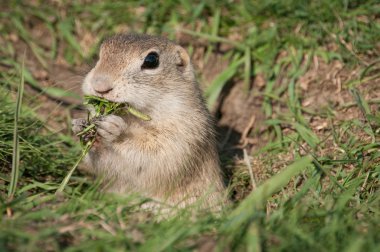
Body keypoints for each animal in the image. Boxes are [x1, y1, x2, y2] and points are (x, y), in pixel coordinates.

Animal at [72, 33, 226, 209]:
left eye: (152, 60)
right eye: (100, 53)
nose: (100, 85)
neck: (134, 118)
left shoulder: (184, 134)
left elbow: (151, 156)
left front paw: (114, 129)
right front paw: (79, 127)